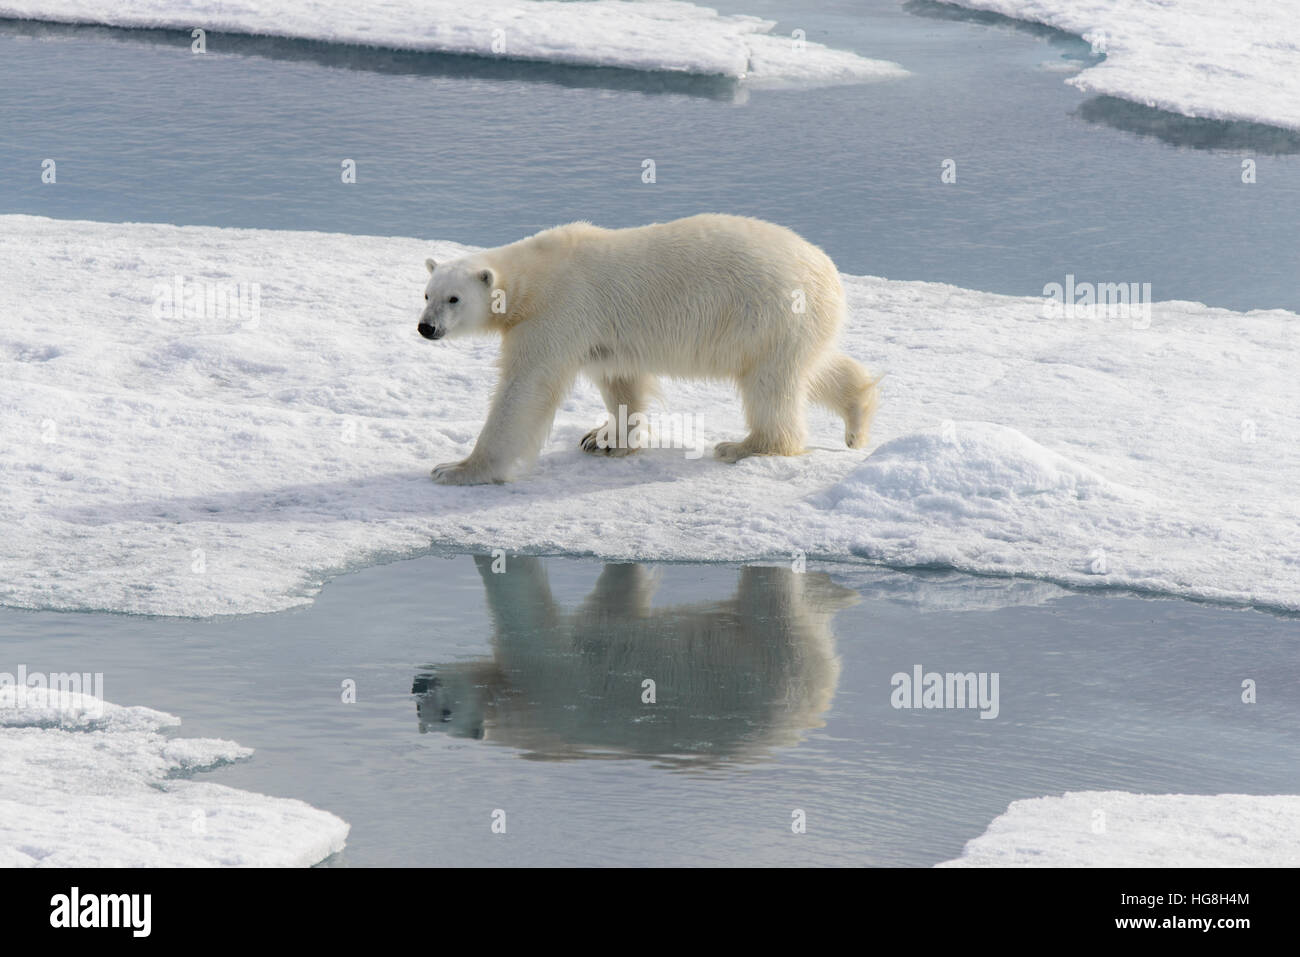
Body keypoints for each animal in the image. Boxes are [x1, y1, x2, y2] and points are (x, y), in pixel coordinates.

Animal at [421, 217, 878, 486]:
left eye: (454, 299)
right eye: (427, 294)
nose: (426, 328)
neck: (536, 275)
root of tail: (829, 272)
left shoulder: (558, 311)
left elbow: (526, 389)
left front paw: (457, 469)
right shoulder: (600, 332)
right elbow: (621, 379)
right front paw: (605, 438)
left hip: (770, 314)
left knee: (769, 384)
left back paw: (743, 446)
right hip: (796, 325)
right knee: (812, 368)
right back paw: (857, 415)